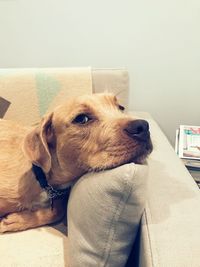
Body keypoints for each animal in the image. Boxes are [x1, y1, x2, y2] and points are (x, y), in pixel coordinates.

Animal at [0, 93, 152, 233]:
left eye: (121, 107)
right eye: (81, 119)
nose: (143, 127)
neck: (42, 179)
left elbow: (58, 210)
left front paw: (17, 220)